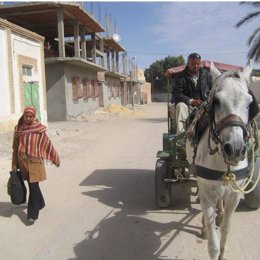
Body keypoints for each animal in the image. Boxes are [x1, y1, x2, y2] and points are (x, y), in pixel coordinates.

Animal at [187, 63, 258, 260]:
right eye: (217, 101)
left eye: (250, 103)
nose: (234, 149)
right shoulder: (206, 192)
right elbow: (213, 243)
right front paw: (208, 231)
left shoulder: (234, 196)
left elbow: (226, 229)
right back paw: (205, 225)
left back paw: (219, 214)